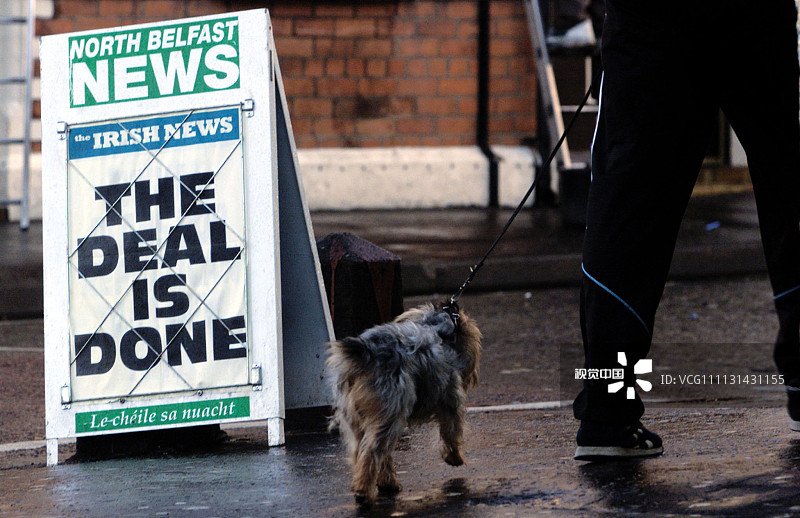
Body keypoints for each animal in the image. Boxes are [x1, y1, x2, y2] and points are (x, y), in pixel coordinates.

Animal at [324, 302, 482, 506]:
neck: (436, 327)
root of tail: (367, 353)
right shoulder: (451, 397)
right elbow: (452, 430)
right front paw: (454, 457)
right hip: (391, 410)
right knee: (373, 450)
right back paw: (364, 492)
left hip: (355, 417)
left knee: (365, 450)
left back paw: (384, 482)